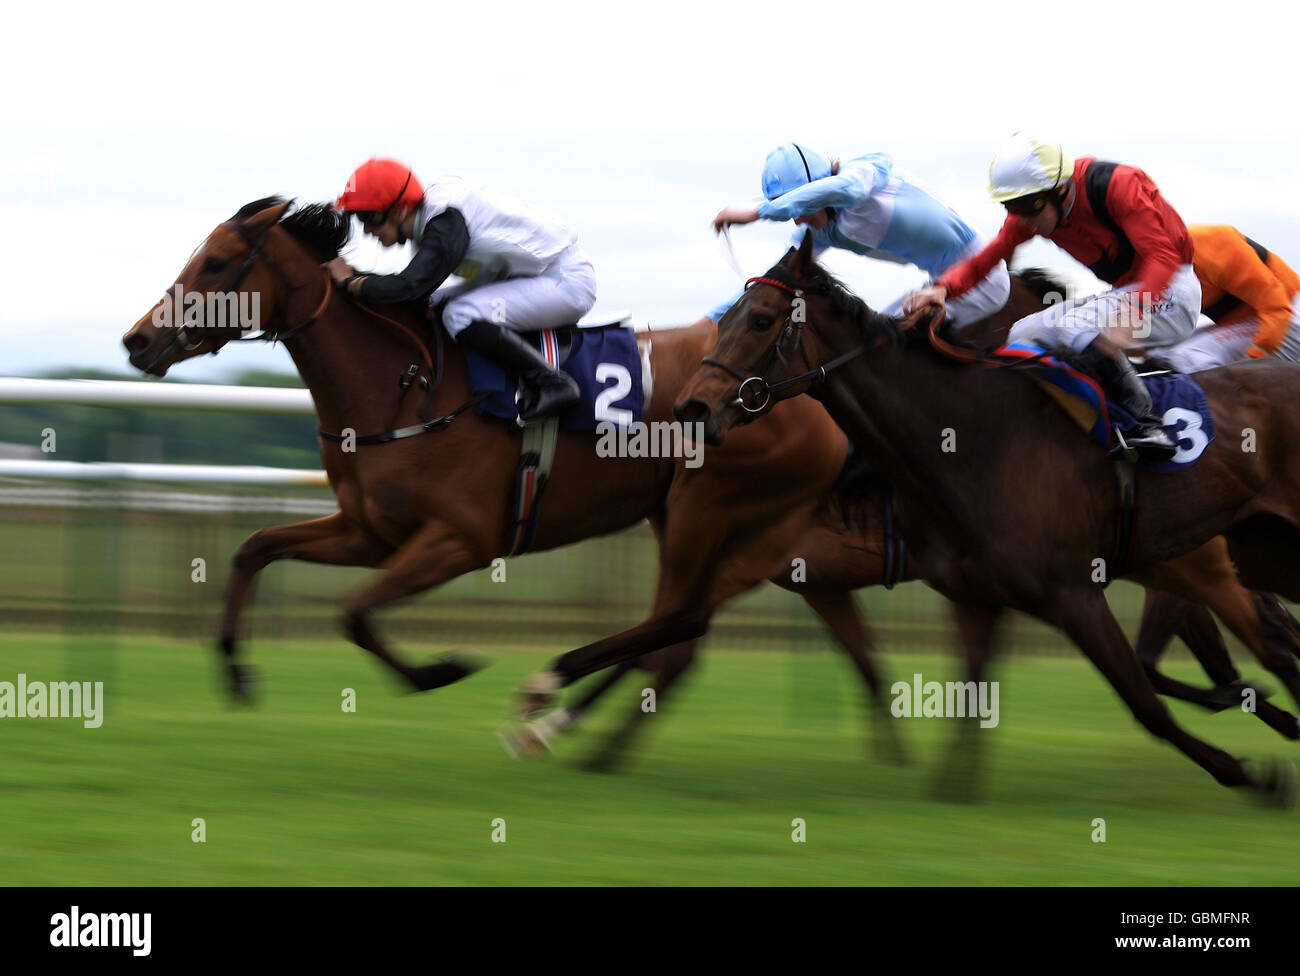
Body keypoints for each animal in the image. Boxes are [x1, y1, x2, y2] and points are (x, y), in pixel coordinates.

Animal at [670, 235, 1300, 800]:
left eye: (761, 320)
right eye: (729, 318)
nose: (691, 407)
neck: (977, 436)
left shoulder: (1074, 593)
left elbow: (1145, 702)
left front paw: (1251, 775)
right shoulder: (977, 596)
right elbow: (970, 698)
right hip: (1253, 552)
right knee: (1272, 642)